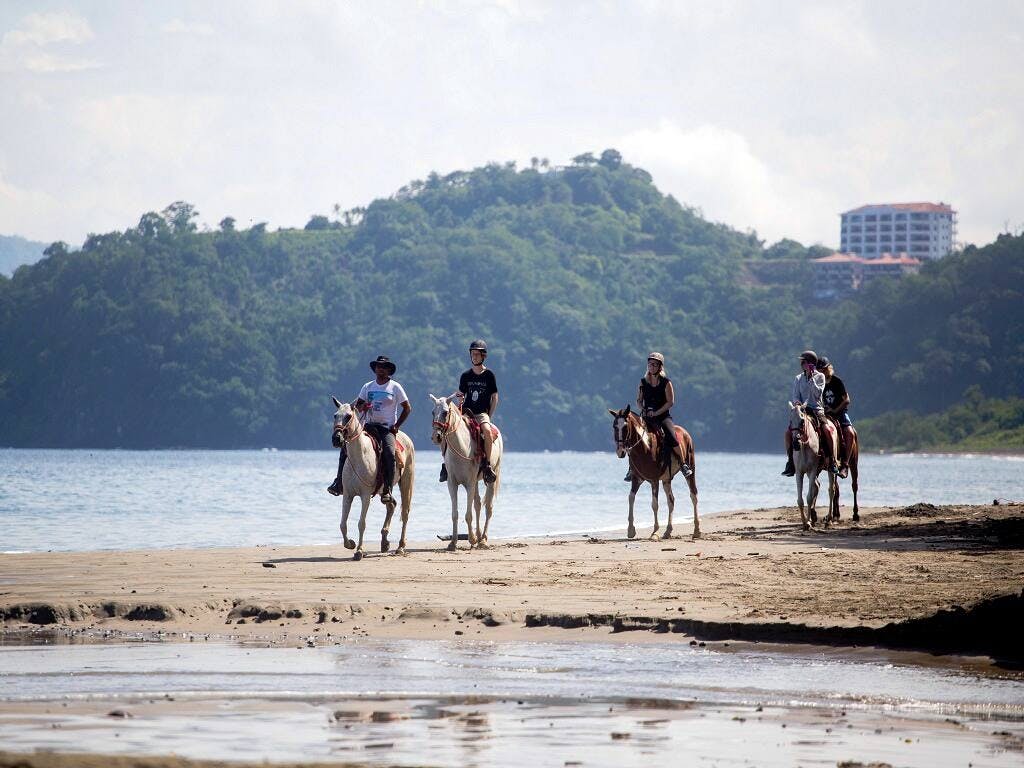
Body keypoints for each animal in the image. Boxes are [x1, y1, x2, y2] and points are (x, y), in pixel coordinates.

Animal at [329, 397, 413, 561]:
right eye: (335, 415)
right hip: (383, 491)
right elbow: (342, 524)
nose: (336, 438)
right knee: (391, 505)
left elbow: (361, 523)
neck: (358, 456)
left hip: (406, 482)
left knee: (405, 513)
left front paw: (359, 551)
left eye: (348, 416)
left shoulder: (365, 495)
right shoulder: (347, 495)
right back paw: (385, 542)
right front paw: (350, 544)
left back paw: (400, 547)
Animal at [425, 393, 501, 548]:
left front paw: (471, 539)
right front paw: (453, 542)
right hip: (475, 482)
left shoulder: (469, 483)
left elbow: (468, 514)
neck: (461, 446)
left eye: (445, 412)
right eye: (433, 412)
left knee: (488, 508)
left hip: (491, 477)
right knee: (478, 504)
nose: (436, 437)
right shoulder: (453, 483)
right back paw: (478, 536)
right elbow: (455, 514)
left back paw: (483, 539)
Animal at [602, 409, 700, 540]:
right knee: (671, 500)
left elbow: (654, 504)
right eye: (614, 426)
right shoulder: (636, 479)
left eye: (625, 426)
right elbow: (631, 498)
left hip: (690, 471)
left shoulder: (654, 480)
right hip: (666, 479)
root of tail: (685, 432)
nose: (620, 451)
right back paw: (668, 531)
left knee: (693, 495)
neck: (644, 448)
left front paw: (655, 532)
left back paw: (697, 530)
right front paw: (631, 530)